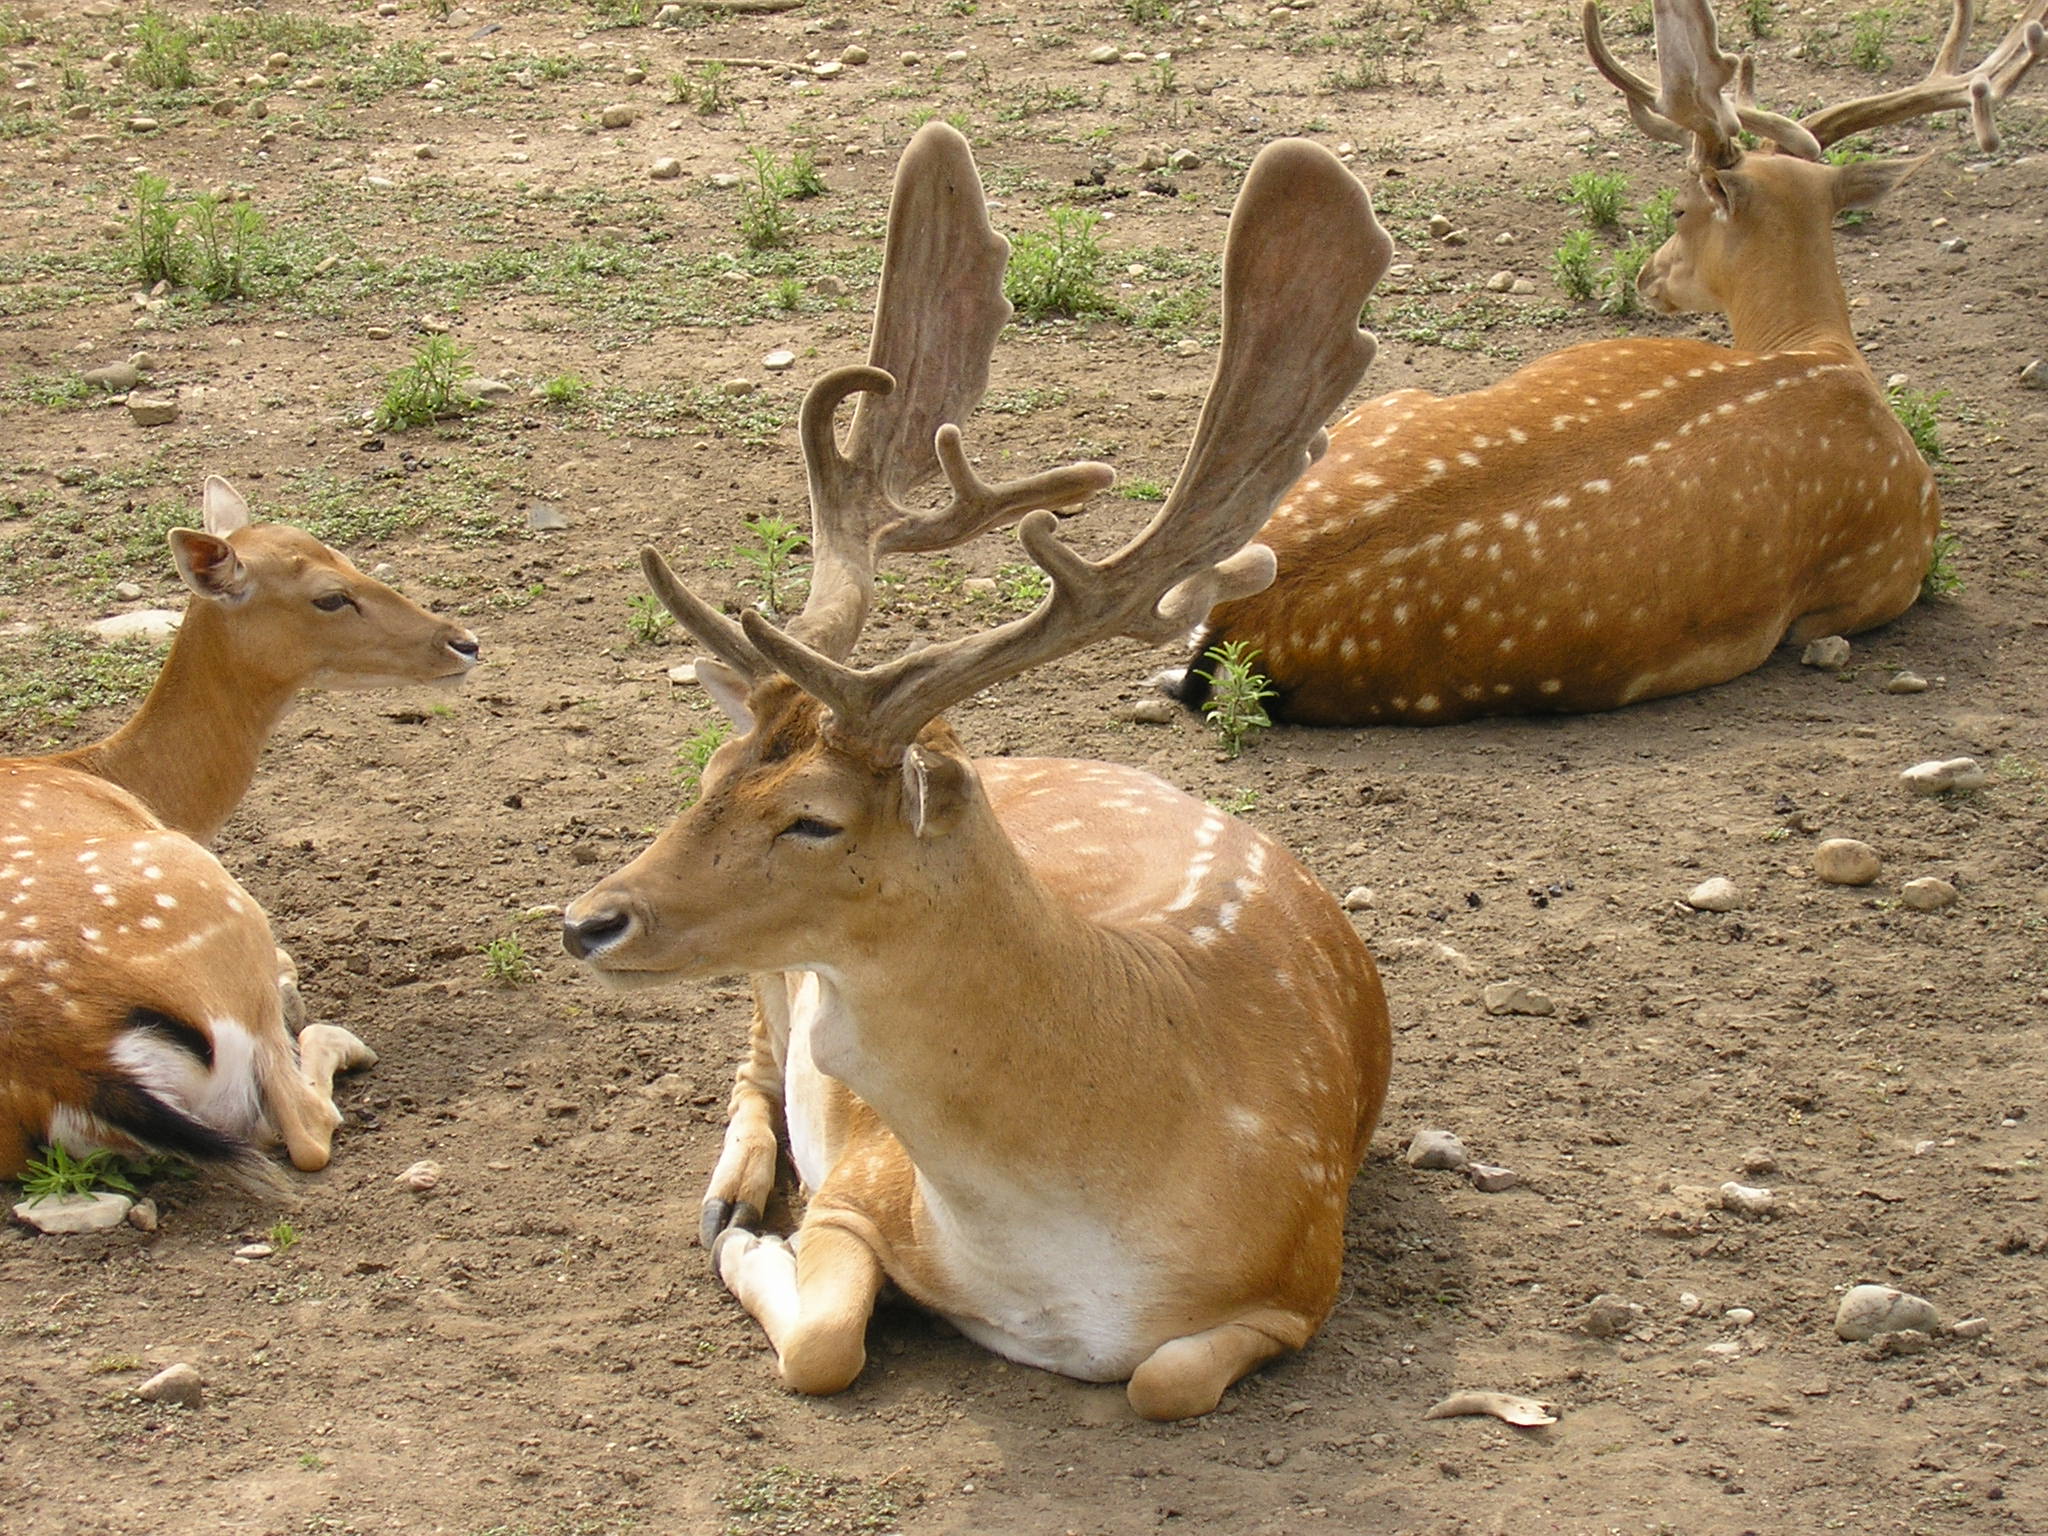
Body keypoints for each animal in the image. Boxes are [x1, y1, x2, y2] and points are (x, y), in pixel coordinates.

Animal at [0, 481, 481, 1179]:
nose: (464, 642)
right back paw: (337, 1036)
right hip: (225, 909)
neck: (106, 772)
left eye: (349, 556)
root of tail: (75, 1063)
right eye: (329, 595)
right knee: (304, 1129)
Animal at [557, 126, 1392, 1425]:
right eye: (711, 768)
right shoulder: (864, 1184)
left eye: (812, 821)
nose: (587, 919)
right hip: (768, 987)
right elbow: (823, 1342)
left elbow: (1164, 1381)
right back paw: (731, 1194)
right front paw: (751, 1242)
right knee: (749, 1057)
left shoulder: (1303, 1273)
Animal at [1187, 0, 2048, 729]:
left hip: (1383, 416)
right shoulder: (1889, 574)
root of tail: (1234, 622)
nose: (1647, 275)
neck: (1824, 352)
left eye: (1677, 209)